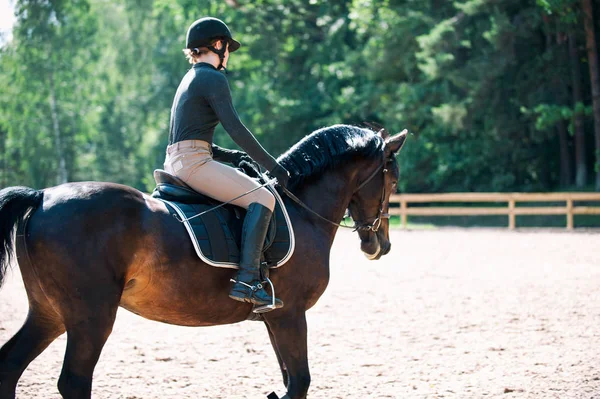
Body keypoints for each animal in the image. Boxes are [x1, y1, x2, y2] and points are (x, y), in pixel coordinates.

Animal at [0, 123, 408, 398]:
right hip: (91, 316)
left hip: (49, 313)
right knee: (73, 381)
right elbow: (299, 383)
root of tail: (41, 196)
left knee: (11, 364)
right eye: (393, 181)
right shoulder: (290, 314)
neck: (301, 209)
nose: (381, 245)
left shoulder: (273, 317)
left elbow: (291, 380)